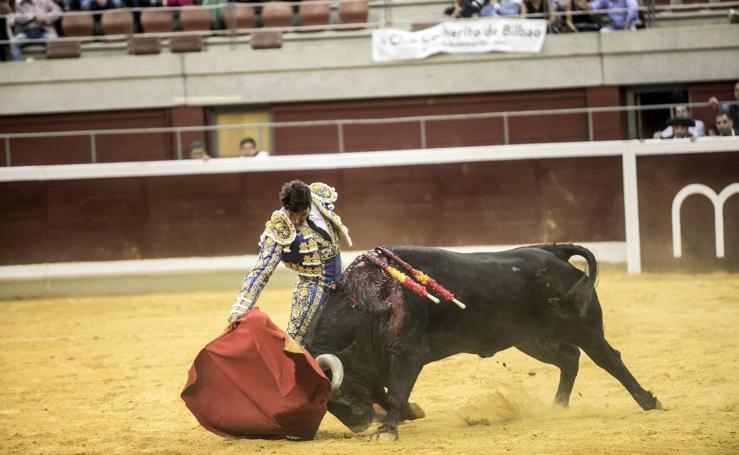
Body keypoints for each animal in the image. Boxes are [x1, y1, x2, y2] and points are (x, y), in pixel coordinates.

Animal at [304, 246, 660, 442]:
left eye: (341, 394)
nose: (360, 424)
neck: (368, 300)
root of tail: (553, 254)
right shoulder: (378, 362)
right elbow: (387, 391)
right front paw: (408, 415)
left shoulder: (407, 353)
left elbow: (396, 391)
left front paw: (387, 430)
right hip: (533, 339)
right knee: (569, 359)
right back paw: (557, 407)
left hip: (581, 327)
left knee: (608, 358)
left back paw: (648, 401)